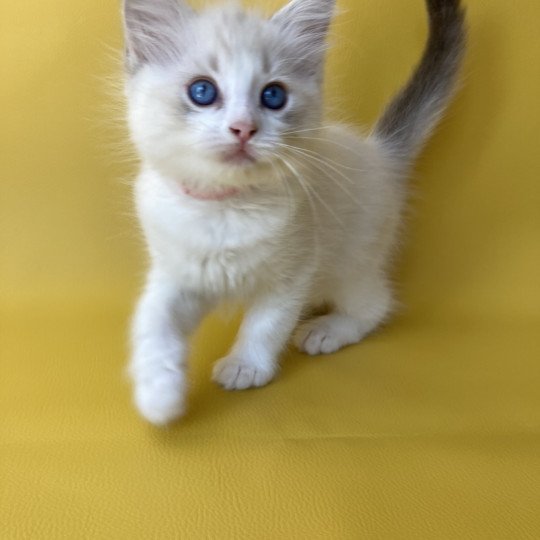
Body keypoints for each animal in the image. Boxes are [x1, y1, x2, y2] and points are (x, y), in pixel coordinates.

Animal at [121, 0, 464, 424]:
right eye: (202, 91)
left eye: (273, 96)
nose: (243, 128)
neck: (225, 208)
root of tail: (380, 153)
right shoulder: (177, 274)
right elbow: (154, 322)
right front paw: (158, 395)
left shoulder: (292, 274)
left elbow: (265, 324)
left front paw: (245, 366)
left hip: (351, 262)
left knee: (376, 305)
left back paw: (327, 329)